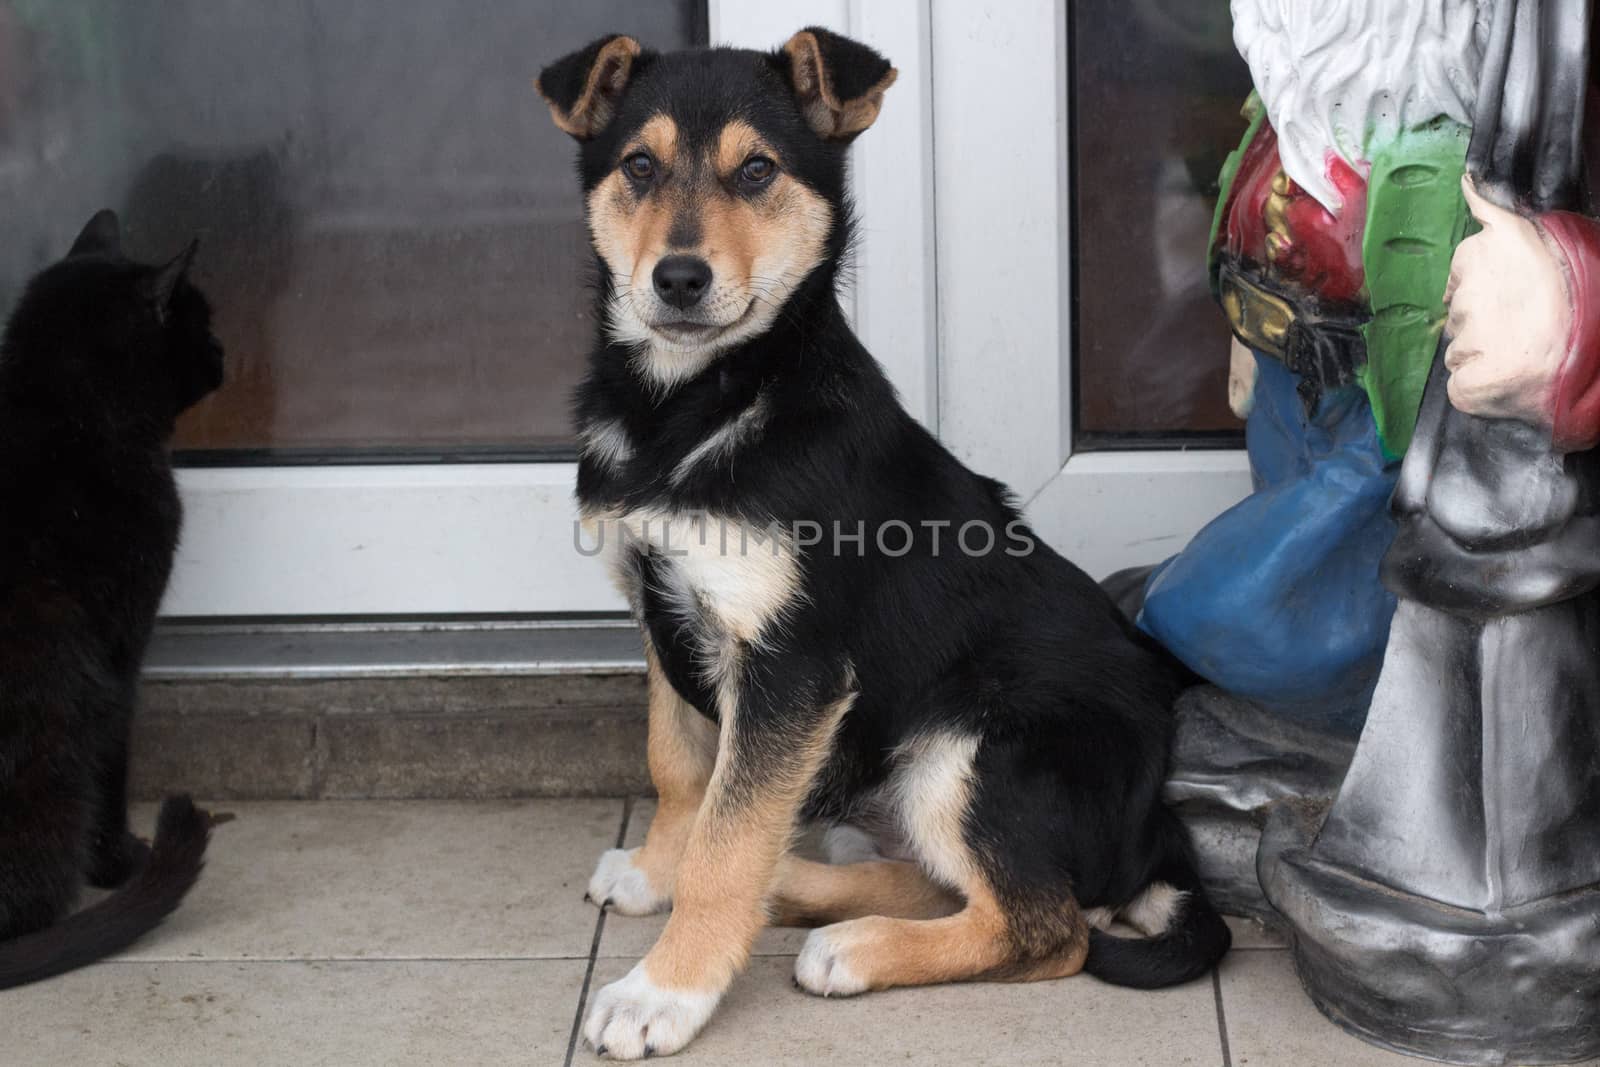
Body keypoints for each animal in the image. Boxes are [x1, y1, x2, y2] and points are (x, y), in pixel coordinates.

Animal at [0, 212, 225, 991]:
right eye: (201, 321)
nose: (225, 353)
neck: (61, 410)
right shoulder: (123, 651)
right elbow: (117, 760)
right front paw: (121, 858)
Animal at [544, 27, 1228, 1062]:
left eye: (757, 171)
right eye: (638, 167)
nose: (679, 279)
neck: (701, 405)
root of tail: (1156, 831)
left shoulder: (793, 665)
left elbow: (728, 840)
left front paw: (667, 989)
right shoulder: (661, 609)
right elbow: (682, 769)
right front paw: (659, 870)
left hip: (969, 749)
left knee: (1048, 925)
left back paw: (851, 945)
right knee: (947, 881)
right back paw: (804, 892)